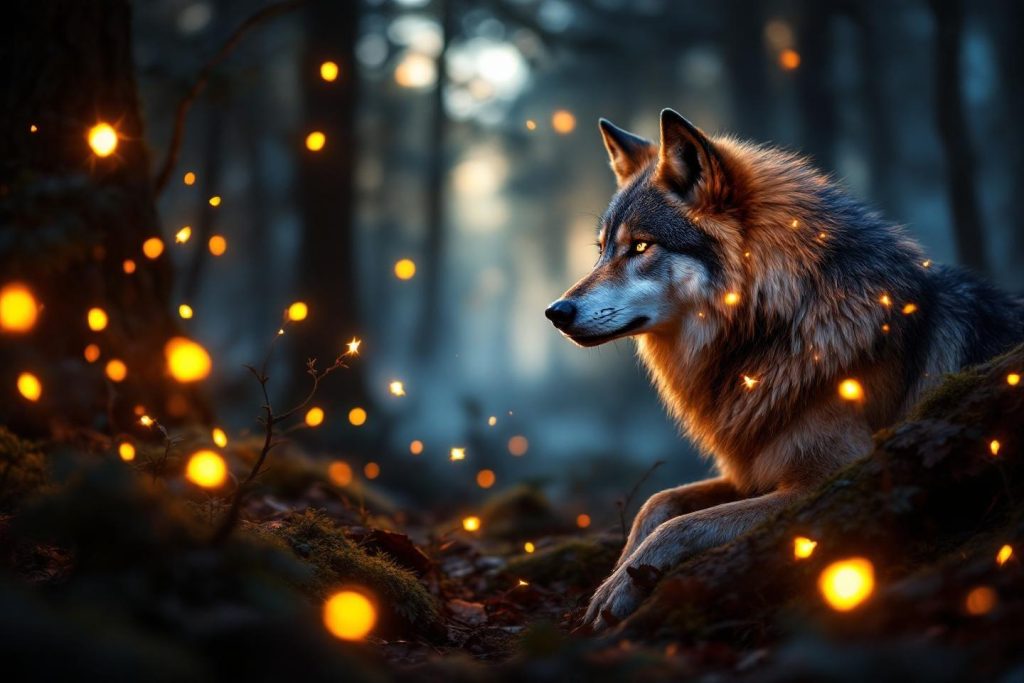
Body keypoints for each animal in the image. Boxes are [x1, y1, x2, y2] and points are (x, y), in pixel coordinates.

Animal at [545, 108, 1024, 630]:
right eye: (602, 250)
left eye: (640, 247)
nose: (555, 312)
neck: (780, 322)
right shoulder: (752, 462)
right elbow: (658, 502)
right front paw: (617, 574)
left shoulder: (833, 476)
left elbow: (682, 524)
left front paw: (619, 588)